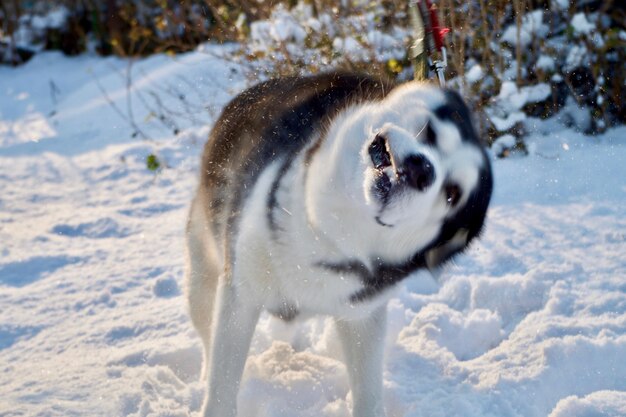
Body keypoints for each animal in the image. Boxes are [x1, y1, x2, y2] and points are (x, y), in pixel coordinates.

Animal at [185, 72, 492, 416]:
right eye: (431, 132)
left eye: (452, 194)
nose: (421, 169)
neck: (327, 233)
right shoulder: (241, 293)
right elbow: (222, 384)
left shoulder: (362, 318)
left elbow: (368, 394)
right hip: (203, 270)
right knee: (207, 328)